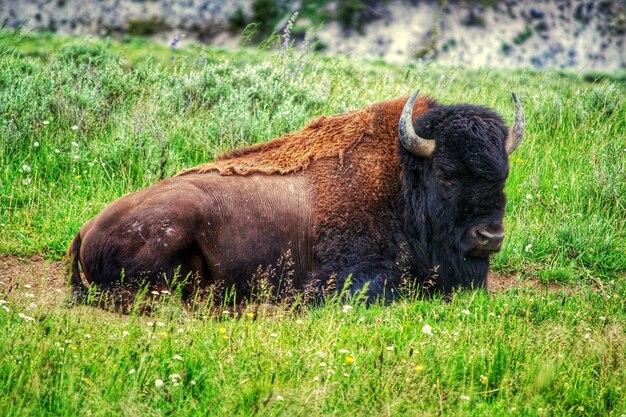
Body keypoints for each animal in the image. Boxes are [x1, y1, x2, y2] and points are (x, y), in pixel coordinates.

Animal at [68, 88, 524, 302]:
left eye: (503, 175)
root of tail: (85, 228)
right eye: (446, 174)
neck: (399, 179)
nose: (490, 237)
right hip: (171, 230)